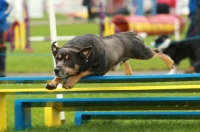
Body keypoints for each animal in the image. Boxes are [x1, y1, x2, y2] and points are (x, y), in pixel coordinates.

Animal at [46, 31, 174, 89]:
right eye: (57, 59)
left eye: (69, 60)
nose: (56, 69)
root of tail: (128, 35)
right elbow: (61, 76)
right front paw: (52, 82)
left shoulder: (99, 70)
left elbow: (82, 72)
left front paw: (69, 82)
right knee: (125, 60)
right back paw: (128, 72)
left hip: (141, 53)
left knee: (156, 51)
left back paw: (169, 62)